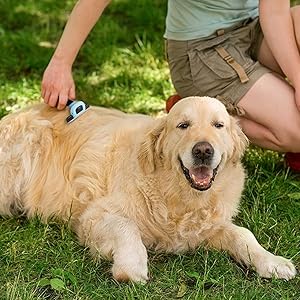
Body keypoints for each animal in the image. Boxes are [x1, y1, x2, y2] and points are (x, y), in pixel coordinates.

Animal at [0, 96, 296, 282]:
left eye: (218, 125)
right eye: (183, 125)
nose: (203, 150)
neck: (178, 195)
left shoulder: (207, 227)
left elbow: (243, 235)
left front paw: (272, 262)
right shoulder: (93, 215)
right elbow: (127, 227)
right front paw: (131, 266)